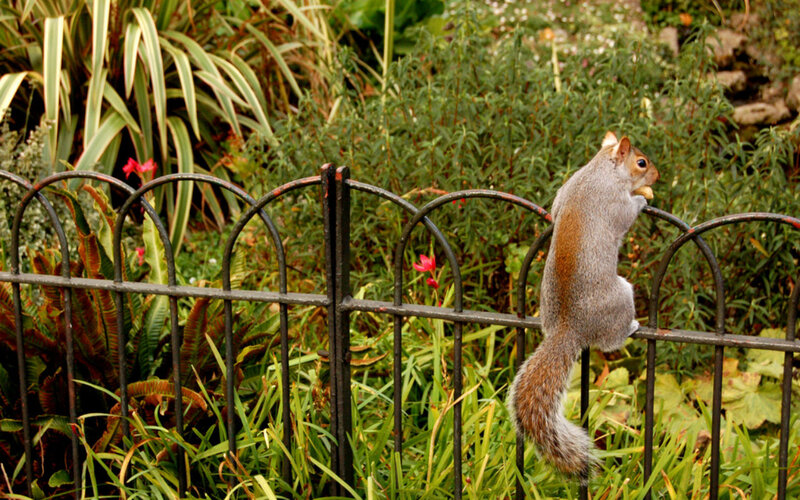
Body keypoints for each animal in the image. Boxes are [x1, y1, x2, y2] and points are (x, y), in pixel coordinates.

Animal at [508, 131, 659, 484]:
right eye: (641, 162)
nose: (657, 175)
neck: (599, 170)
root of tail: (569, 328)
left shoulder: (565, 190)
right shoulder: (614, 202)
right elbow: (627, 213)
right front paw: (643, 199)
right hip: (622, 298)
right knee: (611, 341)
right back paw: (631, 327)